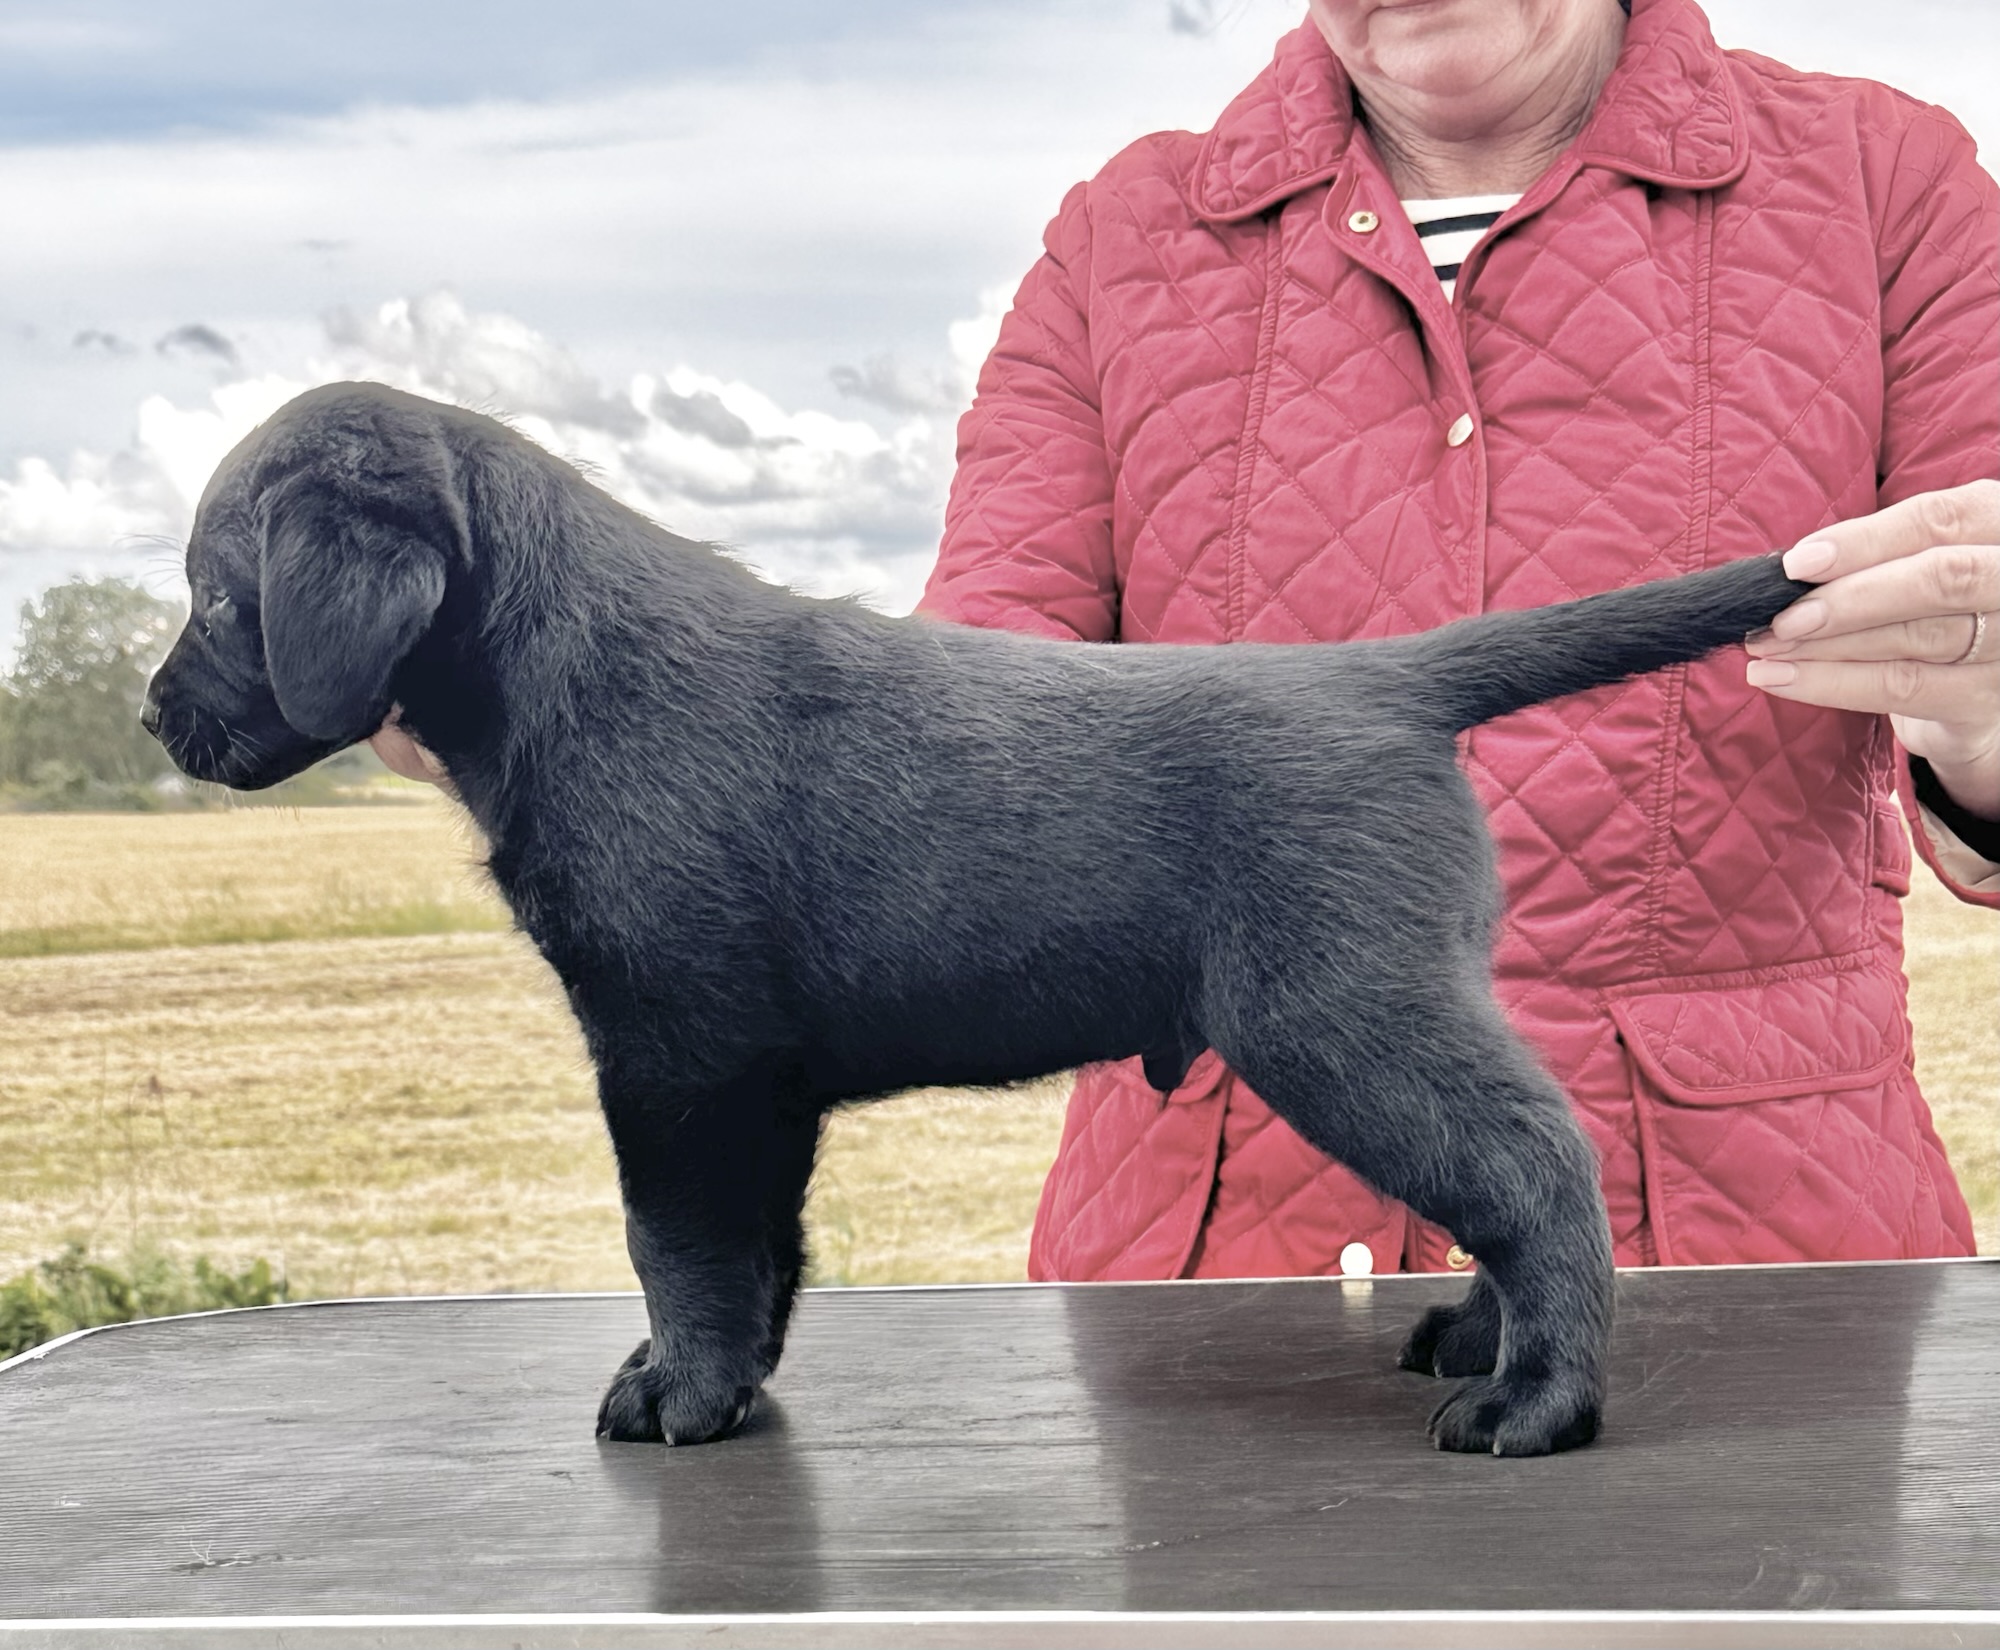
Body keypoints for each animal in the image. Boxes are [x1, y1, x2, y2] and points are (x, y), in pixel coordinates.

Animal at [145, 382, 1812, 1456]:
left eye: (222, 600)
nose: (154, 715)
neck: (568, 660)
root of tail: (1389, 675)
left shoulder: (678, 1052)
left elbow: (679, 1239)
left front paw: (679, 1393)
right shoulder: (746, 1082)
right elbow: (759, 1252)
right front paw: (729, 1379)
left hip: (1341, 1016)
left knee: (1536, 1159)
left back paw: (1538, 1401)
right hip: (1402, 1001)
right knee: (1510, 1159)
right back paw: (1479, 1333)